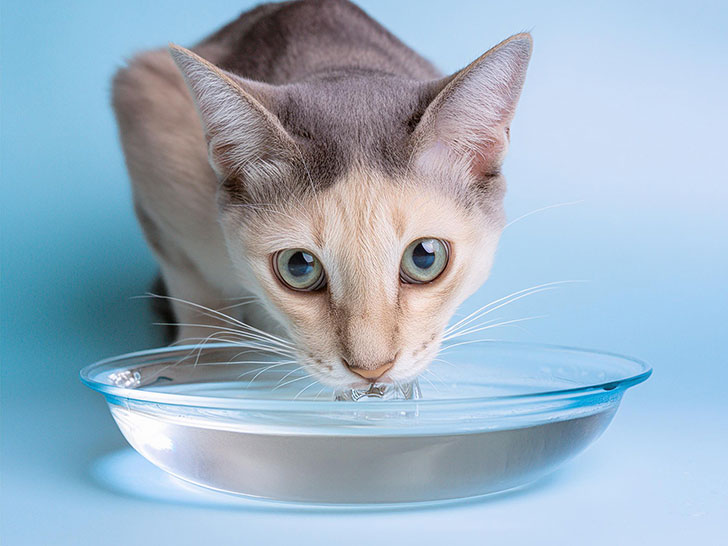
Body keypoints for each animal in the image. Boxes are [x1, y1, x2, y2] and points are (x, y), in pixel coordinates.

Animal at [114, 0, 536, 386]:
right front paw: (199, 363)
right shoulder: (146, 111)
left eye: (425, 257)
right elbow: (194, 294)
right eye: (299, 266)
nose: (371, 371)